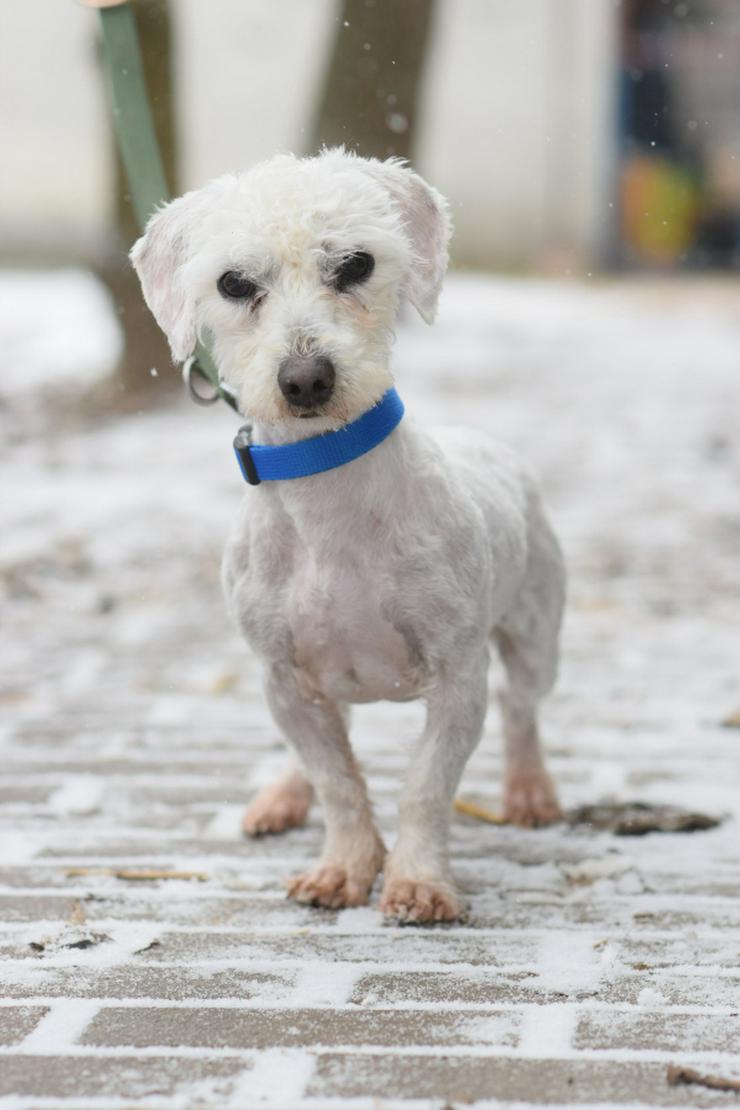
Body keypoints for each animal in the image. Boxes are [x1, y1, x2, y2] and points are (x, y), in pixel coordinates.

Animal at [131, 149, 561, 927]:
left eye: (357, 264)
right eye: (233, 283)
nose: (305, 379)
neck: (326, 493)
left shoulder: (459, 677)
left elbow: (426, 785)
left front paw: (418, 881)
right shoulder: (284, 678)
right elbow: (335, 780)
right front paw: (344, 866)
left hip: (537, 634)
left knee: (522, 711)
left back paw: (529, 789)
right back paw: (282, 794)